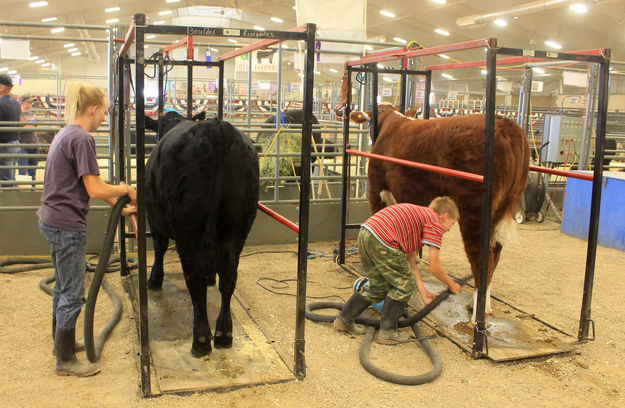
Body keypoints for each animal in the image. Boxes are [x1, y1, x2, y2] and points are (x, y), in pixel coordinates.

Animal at [348, 103, 528, 324]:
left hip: (475, 210)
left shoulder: (377, 190)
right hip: (501, 209)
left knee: (482, 258)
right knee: (496, 255)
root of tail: (507, 124)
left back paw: (477, 315)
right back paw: (479, 305)